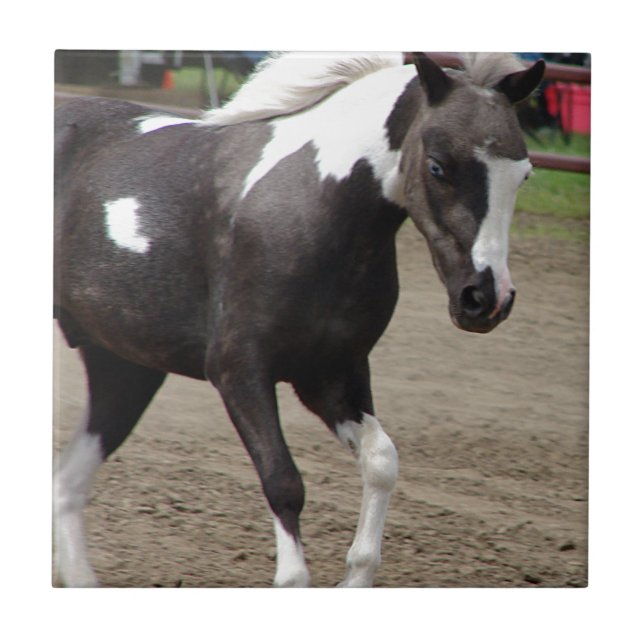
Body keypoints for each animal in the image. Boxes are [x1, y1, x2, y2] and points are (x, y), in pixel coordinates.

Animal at [53, 51, 544, 587]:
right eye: (438, 166)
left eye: (523, 175)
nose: (487, 299)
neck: (313, 209)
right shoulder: (239, 373)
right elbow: (284, 482)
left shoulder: (331, 376)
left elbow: (381, 461)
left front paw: (356, 577)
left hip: (124, 367)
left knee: (67, 484)